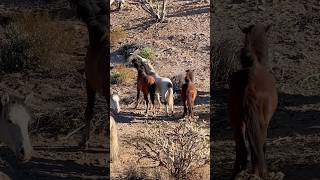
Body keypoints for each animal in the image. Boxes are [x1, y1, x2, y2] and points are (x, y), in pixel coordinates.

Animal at [228, 23, 278, 179]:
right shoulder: (265, 121)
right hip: (260, 120)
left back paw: (239, 172)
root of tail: (249, 82)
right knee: (257, 143)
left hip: (237, 120)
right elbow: (262, 144)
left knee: (241, 147)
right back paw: (260, 172)